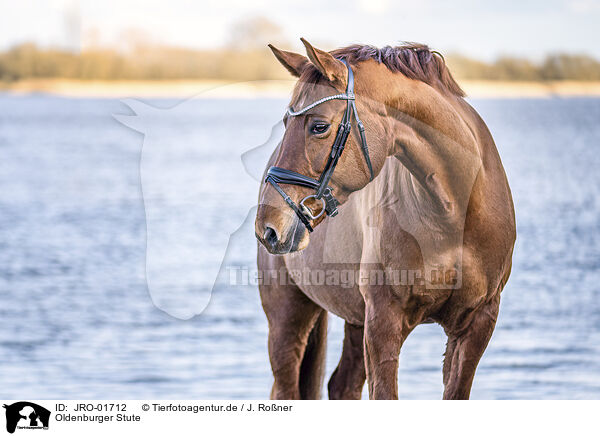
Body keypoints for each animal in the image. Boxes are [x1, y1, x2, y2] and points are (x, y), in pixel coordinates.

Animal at [253, 38, 516, 398]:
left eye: (319, 126)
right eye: (284, 124)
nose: (268, 227)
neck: (453, 215)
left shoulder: (476, 324)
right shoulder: (383, 322)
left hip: (353, 318)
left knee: (342, 384)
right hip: (287, 315)